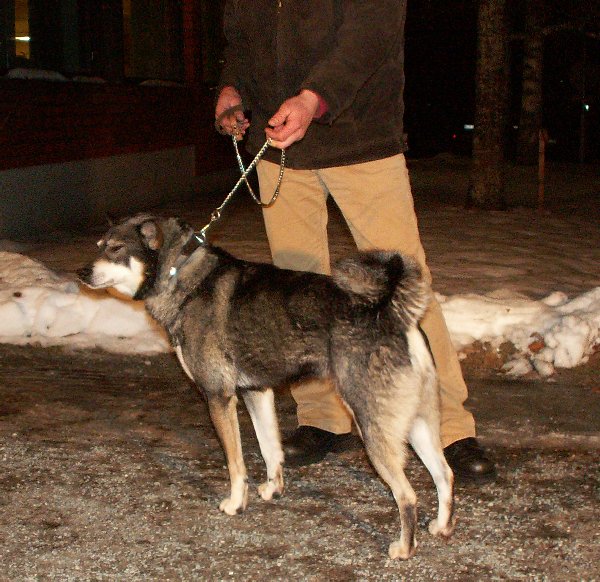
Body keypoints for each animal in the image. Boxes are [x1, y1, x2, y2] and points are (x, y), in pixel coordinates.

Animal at [78, 213, 455, 560]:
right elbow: (270, 448)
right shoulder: (256, 392)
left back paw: (404, 548)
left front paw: (235, 503)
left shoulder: (218, 397)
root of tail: (393, 314)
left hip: (372, 425)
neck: (179, 273)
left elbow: (236, 463)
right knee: (444, 474)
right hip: (416, 423)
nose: (81, 273)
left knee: (407, 495)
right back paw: (441, 526)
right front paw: (274, 490)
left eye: (115, 248)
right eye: (99, 245)